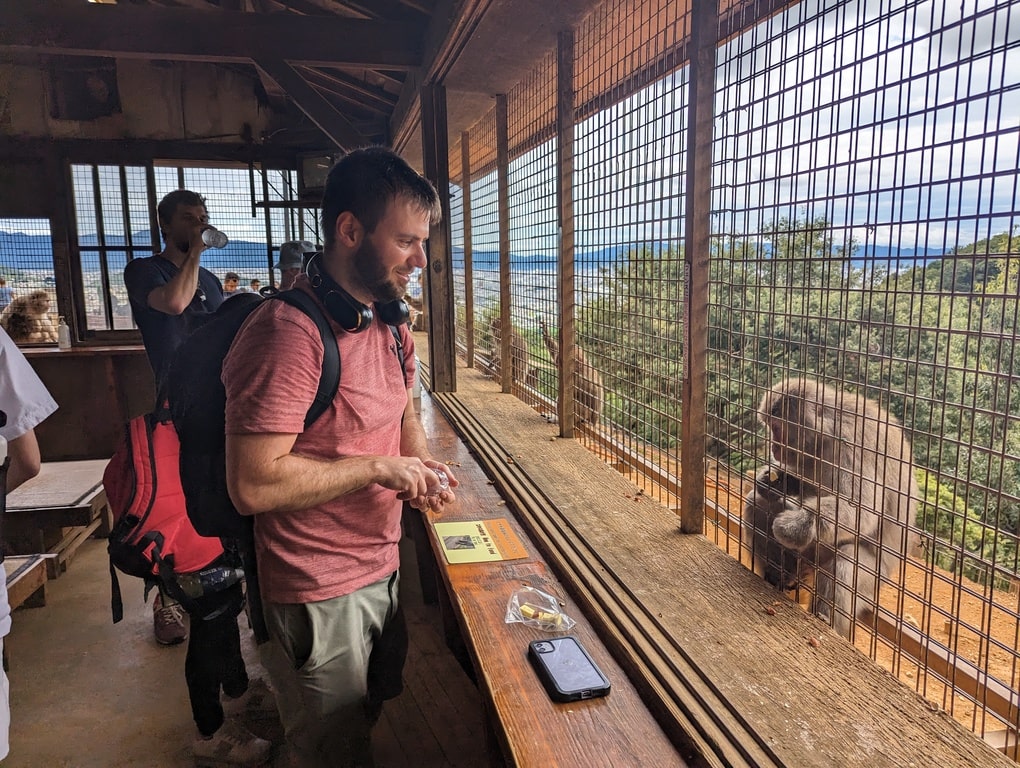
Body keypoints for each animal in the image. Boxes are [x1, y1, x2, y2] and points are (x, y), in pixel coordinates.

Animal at [738, 375, 922, 636]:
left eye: (776, 428)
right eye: (770, 426)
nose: (773, 446)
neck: (825, 436)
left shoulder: (851, 445)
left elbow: (861, 510)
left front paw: (800, 523)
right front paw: (775, 481)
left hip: (874, 580)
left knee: (845, 561)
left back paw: (826, 621)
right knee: (757, 504)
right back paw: (779, 578)